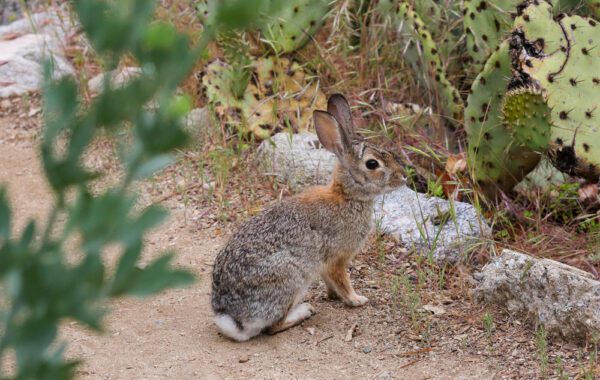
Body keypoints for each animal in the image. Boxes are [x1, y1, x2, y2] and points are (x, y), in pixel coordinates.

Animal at [209, 94, 406, 342]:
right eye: (372, 164)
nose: (403, 177)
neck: (346, 196)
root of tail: (233, 319)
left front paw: (334, 296)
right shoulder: (336, 258)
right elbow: (342, 280)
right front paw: (356, 300)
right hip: (291, 278)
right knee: (273, 326)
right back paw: (304, 311)